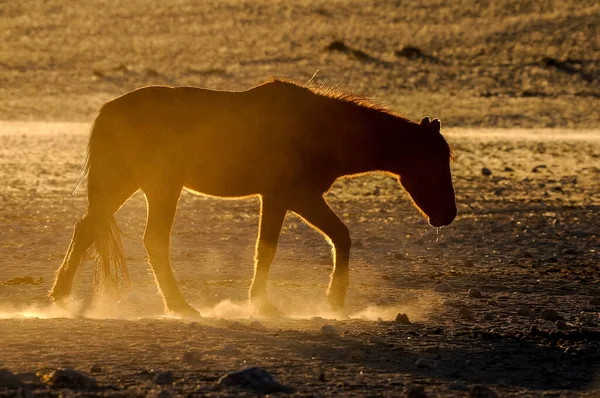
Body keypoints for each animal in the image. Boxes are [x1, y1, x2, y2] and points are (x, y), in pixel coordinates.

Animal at [50, 79, 454, 318]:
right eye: (435, 163)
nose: (448, 214)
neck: (321, 127)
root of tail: (109, 111)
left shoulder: (280, 199)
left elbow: (270, 247)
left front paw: (266, 302)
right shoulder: (294, 196)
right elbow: (335, 237)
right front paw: (329, 301)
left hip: (131, 185)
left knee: (86, 230)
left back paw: (61, 297)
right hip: (160, 186)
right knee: (152, 241)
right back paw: (180, 306)